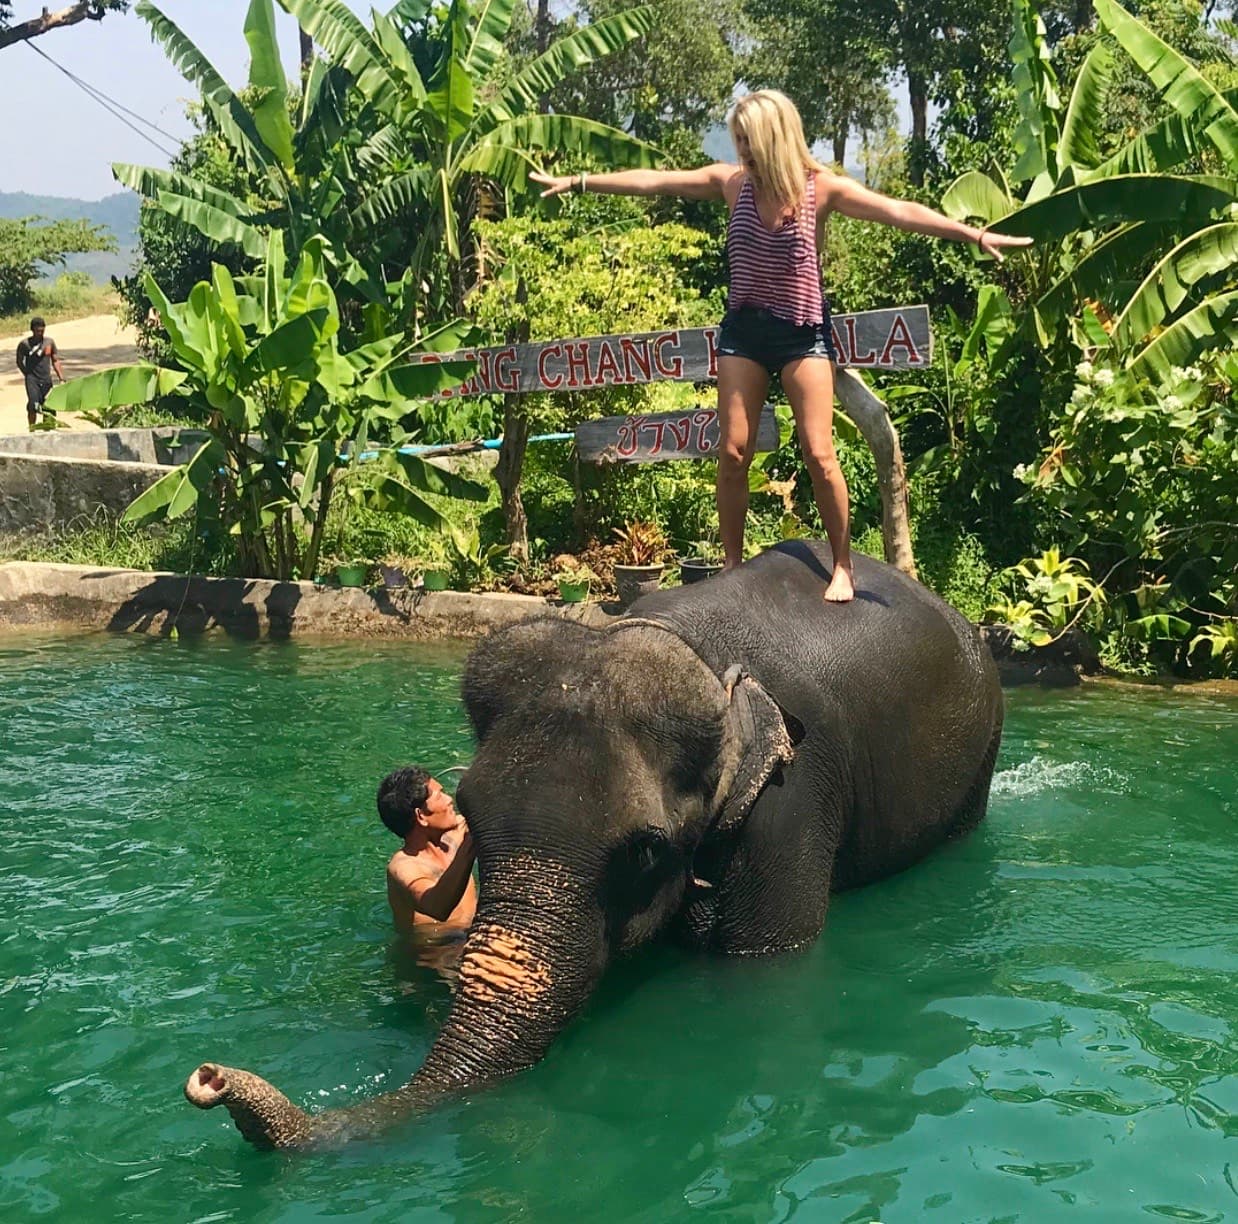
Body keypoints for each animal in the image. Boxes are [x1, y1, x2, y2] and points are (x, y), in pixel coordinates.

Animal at [184, 540, 1003, 1149]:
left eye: (643, 850)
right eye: (469, 818)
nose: (209, 1077)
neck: (688, 647)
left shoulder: (791, 800)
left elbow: (761, 964)